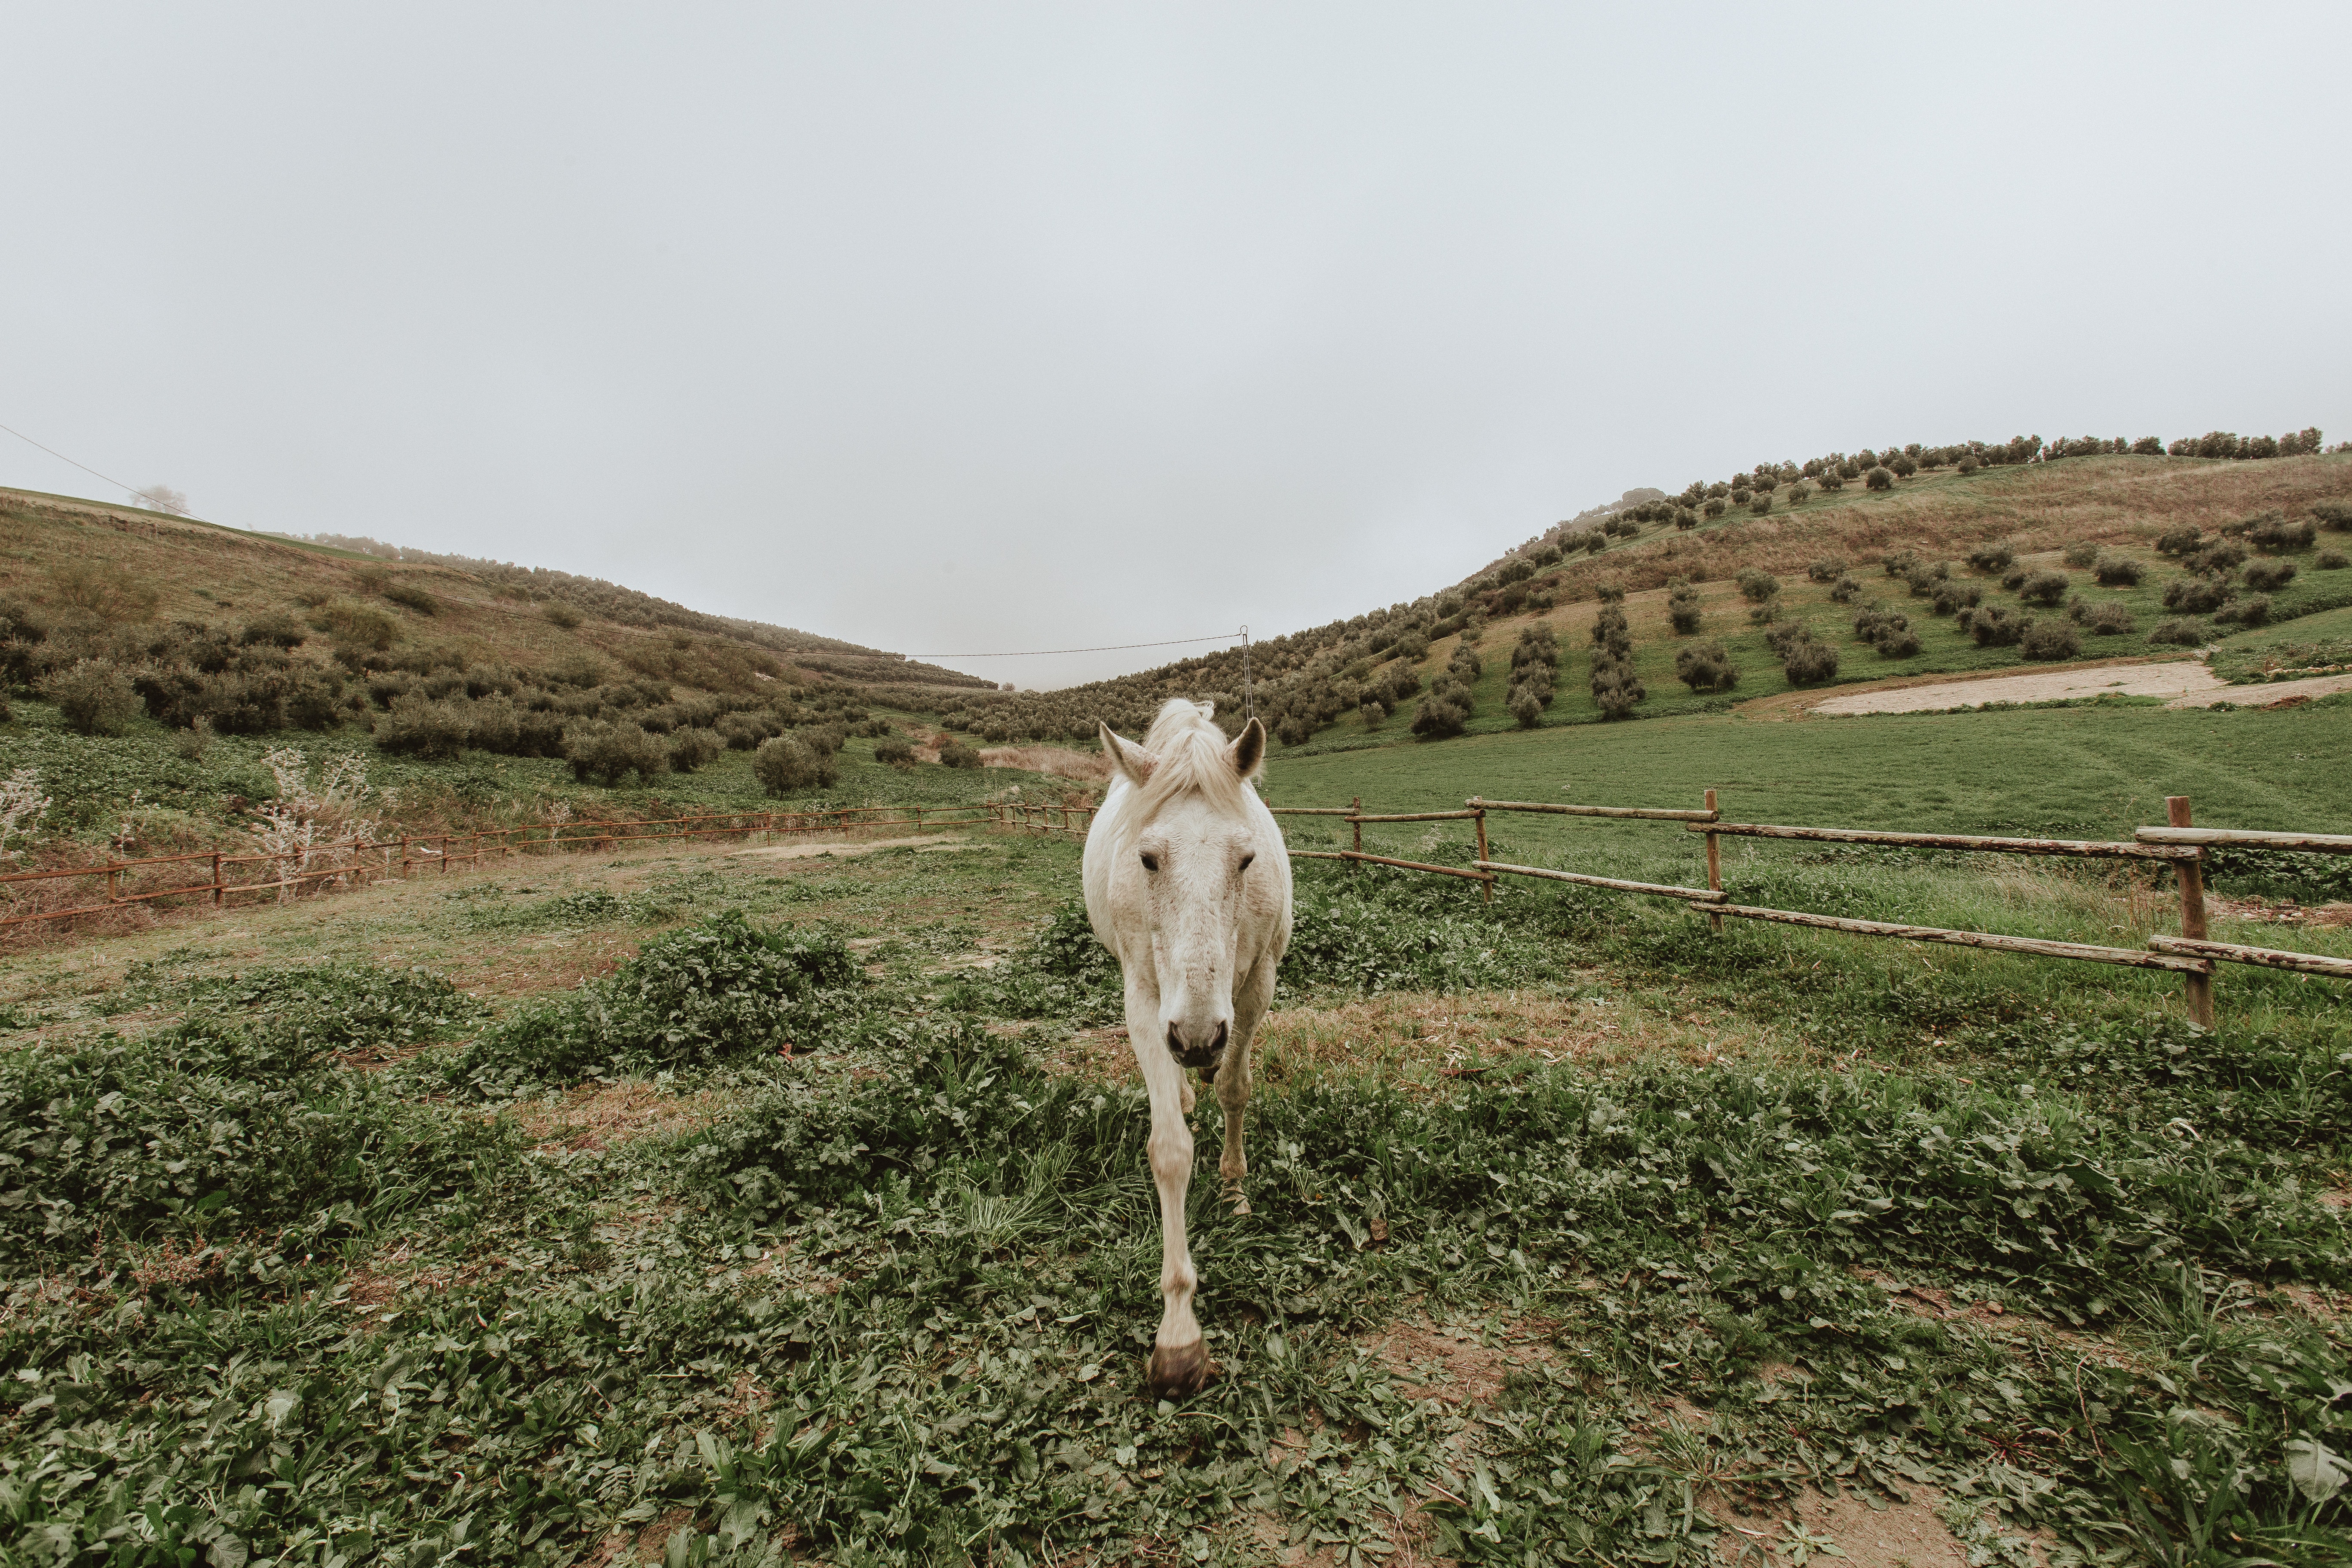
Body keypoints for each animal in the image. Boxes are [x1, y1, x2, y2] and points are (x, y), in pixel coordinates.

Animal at [1083, 698, 1293, 1398]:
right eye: (1148, 859)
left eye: (1246, 860)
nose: (1197, 1038)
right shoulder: (1144, 999)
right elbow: (1170, 1149)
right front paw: (1179, 1337)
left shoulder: (1256, 986)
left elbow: (1235, 1089)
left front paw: (1234, 1189)